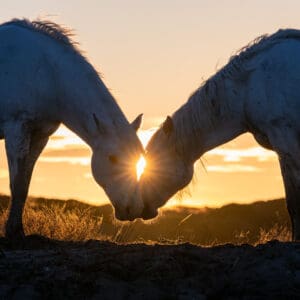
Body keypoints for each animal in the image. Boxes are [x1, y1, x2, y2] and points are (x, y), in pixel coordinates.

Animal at [0, 19, 144, 239]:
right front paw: (11, 231)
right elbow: (16, 184)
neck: (48, 73)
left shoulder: (40, 136)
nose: (133, 208)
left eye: (138, 157)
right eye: (112, 158)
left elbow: (24, 185)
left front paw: (18, 230)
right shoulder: (16, 129)